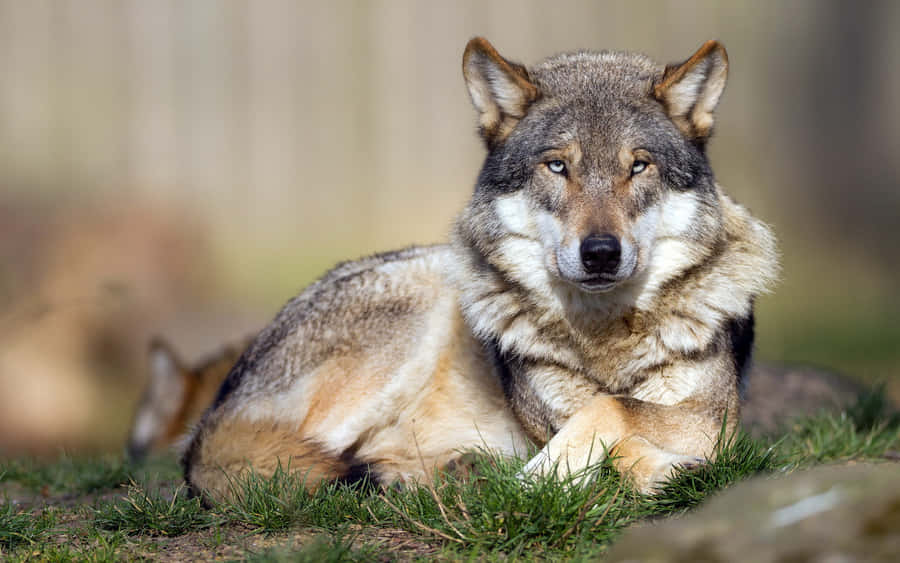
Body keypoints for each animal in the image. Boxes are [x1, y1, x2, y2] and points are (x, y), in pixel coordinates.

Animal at [183, 37, 778, 501]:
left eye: (639, 166)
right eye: (557, 166)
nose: (601, 253)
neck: (603, 336)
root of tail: (215, 411)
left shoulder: (716, 417)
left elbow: (613, 410)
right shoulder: (553, 415)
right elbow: (609, 417)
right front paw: (559, 474)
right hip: (416, 310)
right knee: (271, 464)